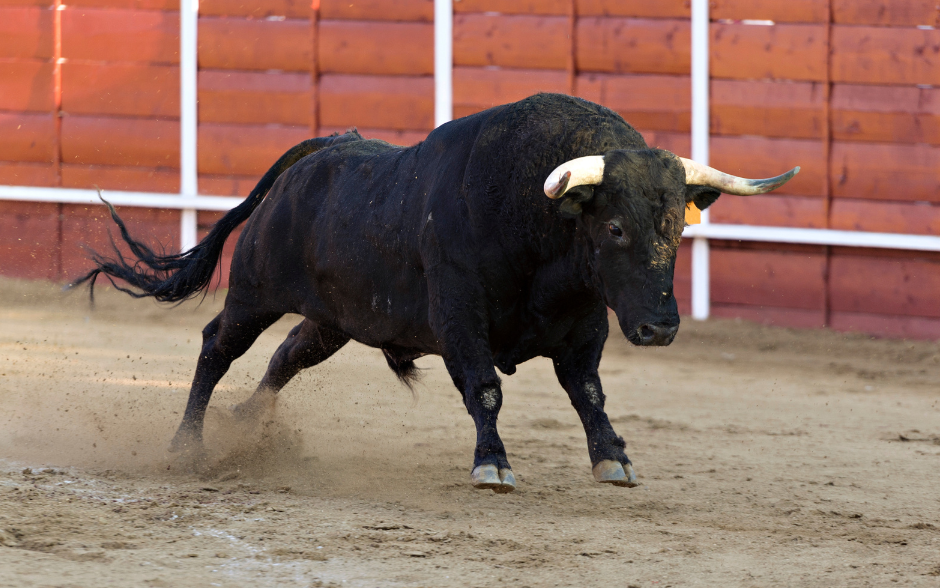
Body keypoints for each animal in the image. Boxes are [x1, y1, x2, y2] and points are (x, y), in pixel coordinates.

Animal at [77, 95, 796, 492]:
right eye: (615, 226)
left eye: (678, 225)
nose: (660, 327)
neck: (537, 222)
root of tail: (323, 151)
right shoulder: (460, 321)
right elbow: (486, 388)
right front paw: (493, 466)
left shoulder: (585, 324)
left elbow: (588, 392)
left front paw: (613, 459)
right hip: (256, 291)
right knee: (216, 347)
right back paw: (187, 444)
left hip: (336, 320)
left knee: (286, 356)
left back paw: (247, 426)